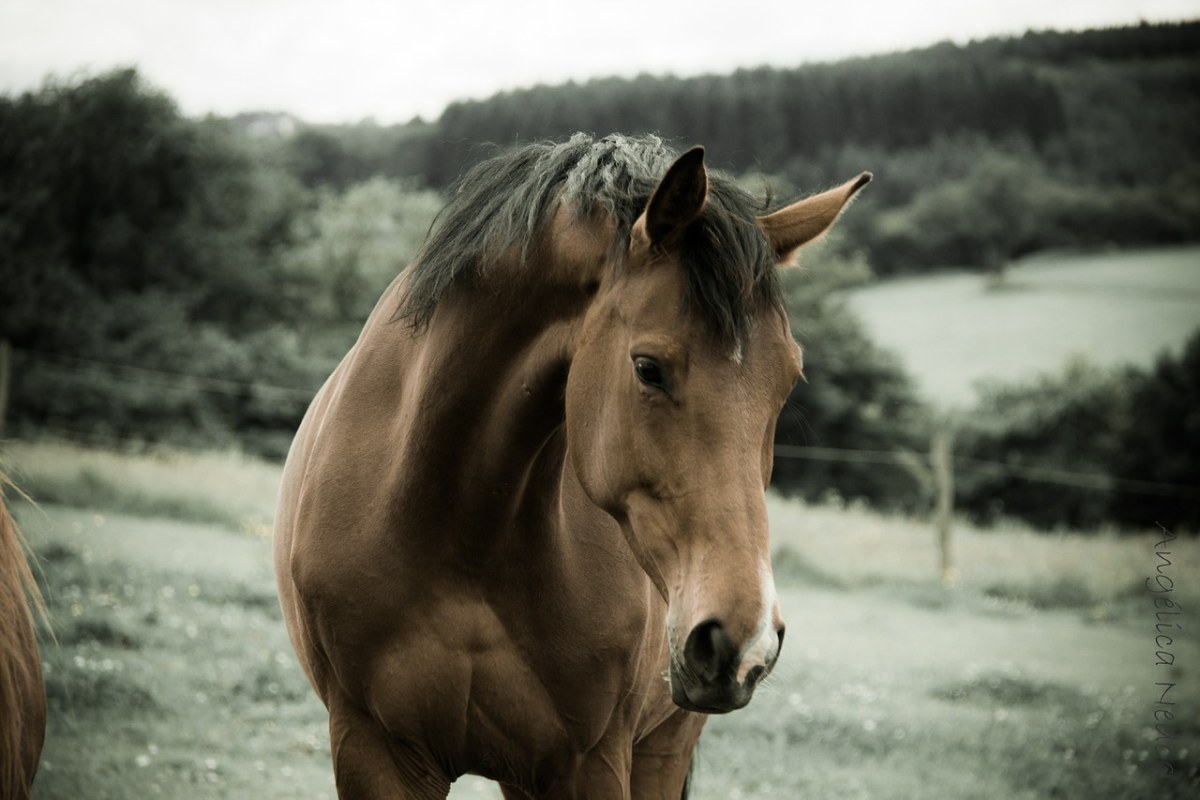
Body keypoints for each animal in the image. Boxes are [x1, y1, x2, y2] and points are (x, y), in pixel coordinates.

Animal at [274, 134, 868, 796]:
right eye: (648, 368)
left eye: (787, 380)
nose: (745, 642)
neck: (460, 531)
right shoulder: (371, 748)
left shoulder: (590, 762)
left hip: (661, 746)